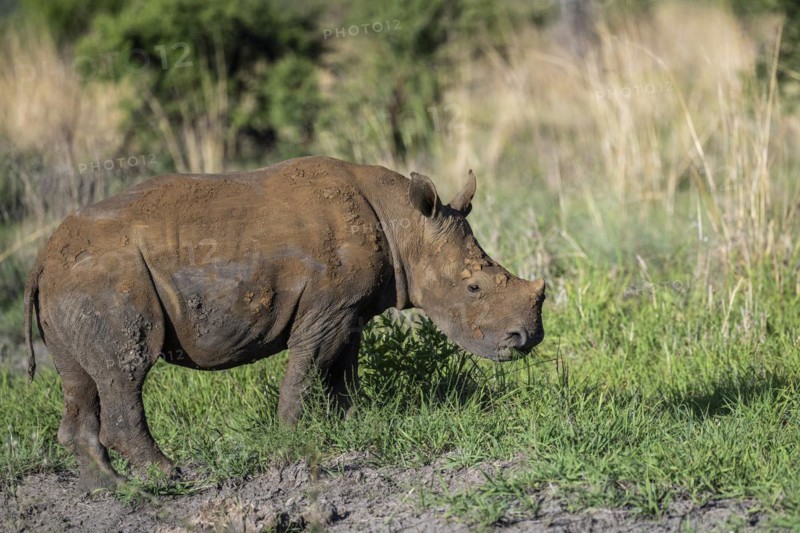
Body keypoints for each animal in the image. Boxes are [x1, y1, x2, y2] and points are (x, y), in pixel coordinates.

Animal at [24, 156, 546, 489]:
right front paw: (293, 438)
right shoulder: (327, 309)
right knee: (126, 369)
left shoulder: (350, 311)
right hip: (105, 277)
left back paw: (111, 489)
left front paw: (352, 424)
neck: (405, 225)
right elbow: (307, 369)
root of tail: (44, 256)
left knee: (80, 377)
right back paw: (168, 476)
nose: (528, 337)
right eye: (474, 289)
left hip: (74, 280)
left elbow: (343, 373)